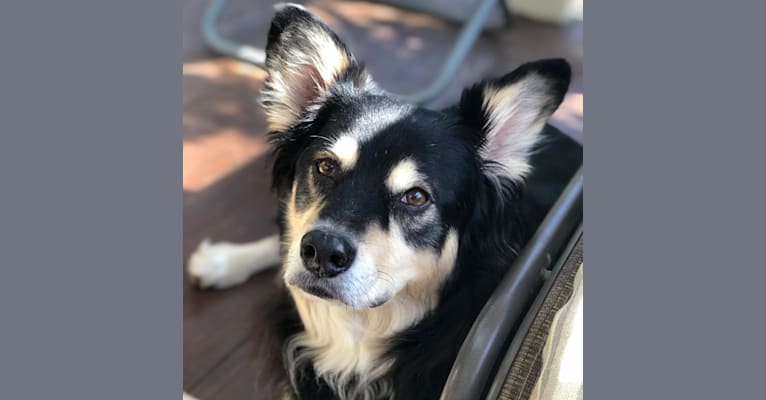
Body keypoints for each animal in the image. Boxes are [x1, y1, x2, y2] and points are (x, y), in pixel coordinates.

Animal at [188, 3, 584, 400]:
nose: (322, 251)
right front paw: (228, 259)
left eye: (416, 197)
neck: (354, 341)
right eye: (325, 166)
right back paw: (221, 261)